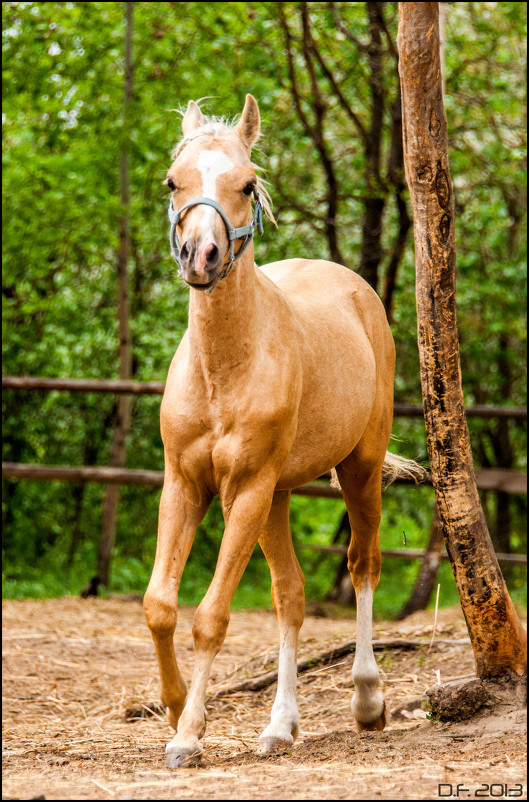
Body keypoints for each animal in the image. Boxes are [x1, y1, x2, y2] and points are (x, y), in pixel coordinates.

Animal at [142, 94, 422, 764]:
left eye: (246, 184)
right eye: (173, 181)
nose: (200, 257)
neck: (224, 367)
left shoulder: (244, 489)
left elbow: (210, 617)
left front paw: (188, 735)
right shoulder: (184, 484)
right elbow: (161, 605)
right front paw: (174, 708)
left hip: (357, 470)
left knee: (363, 565)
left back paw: (367, 700)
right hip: (279, 496)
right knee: (290, 596)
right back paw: (280, 726)